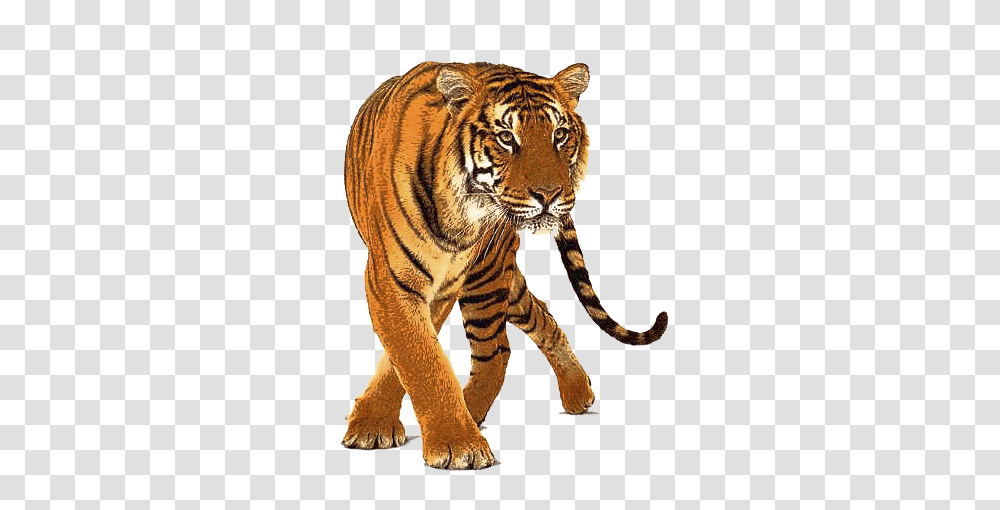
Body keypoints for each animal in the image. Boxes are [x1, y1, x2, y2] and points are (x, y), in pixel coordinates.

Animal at [341, 62, 669, 470]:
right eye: (506, 138)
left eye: (560, 134)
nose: (550, 194)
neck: (460, 215)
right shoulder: (392, 281)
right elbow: (417, 356)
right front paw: (381, 425)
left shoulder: (446, 285)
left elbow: (416, 357)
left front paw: (457, 444)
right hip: (497, 281)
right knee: (539, 316)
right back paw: (577, 393)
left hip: (487, 276)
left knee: (497, 350)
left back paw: (477, 411)